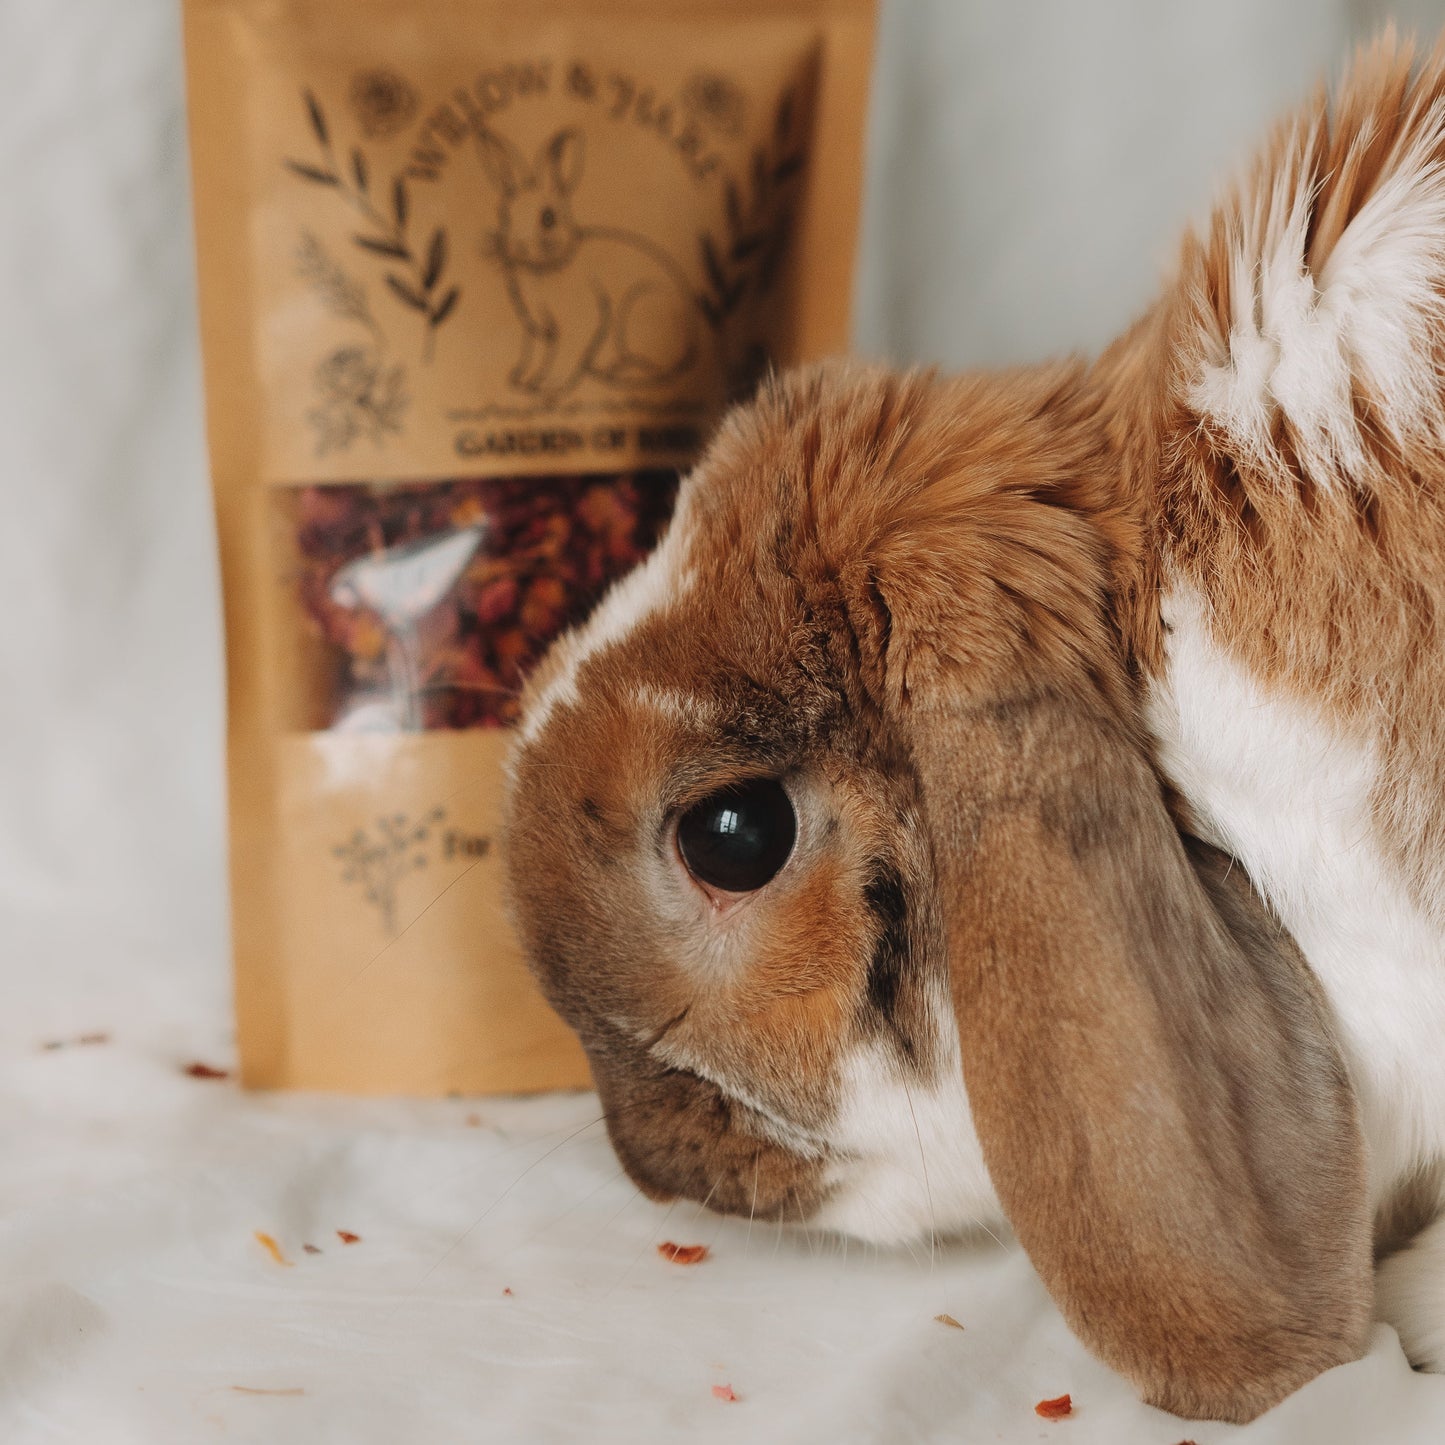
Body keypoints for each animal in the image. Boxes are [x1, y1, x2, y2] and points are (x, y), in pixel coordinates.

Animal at [476, 127, 696, 404]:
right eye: (505, 215)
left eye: (548, 218)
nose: (519, 247)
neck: (542, 268)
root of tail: (689, 340)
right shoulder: (536, 331)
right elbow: (534, 353)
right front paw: (522, 380)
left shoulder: (578, 324)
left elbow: (566, 355)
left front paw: (548, 387)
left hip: (638, 314)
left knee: (659, 368)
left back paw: (621, 373)